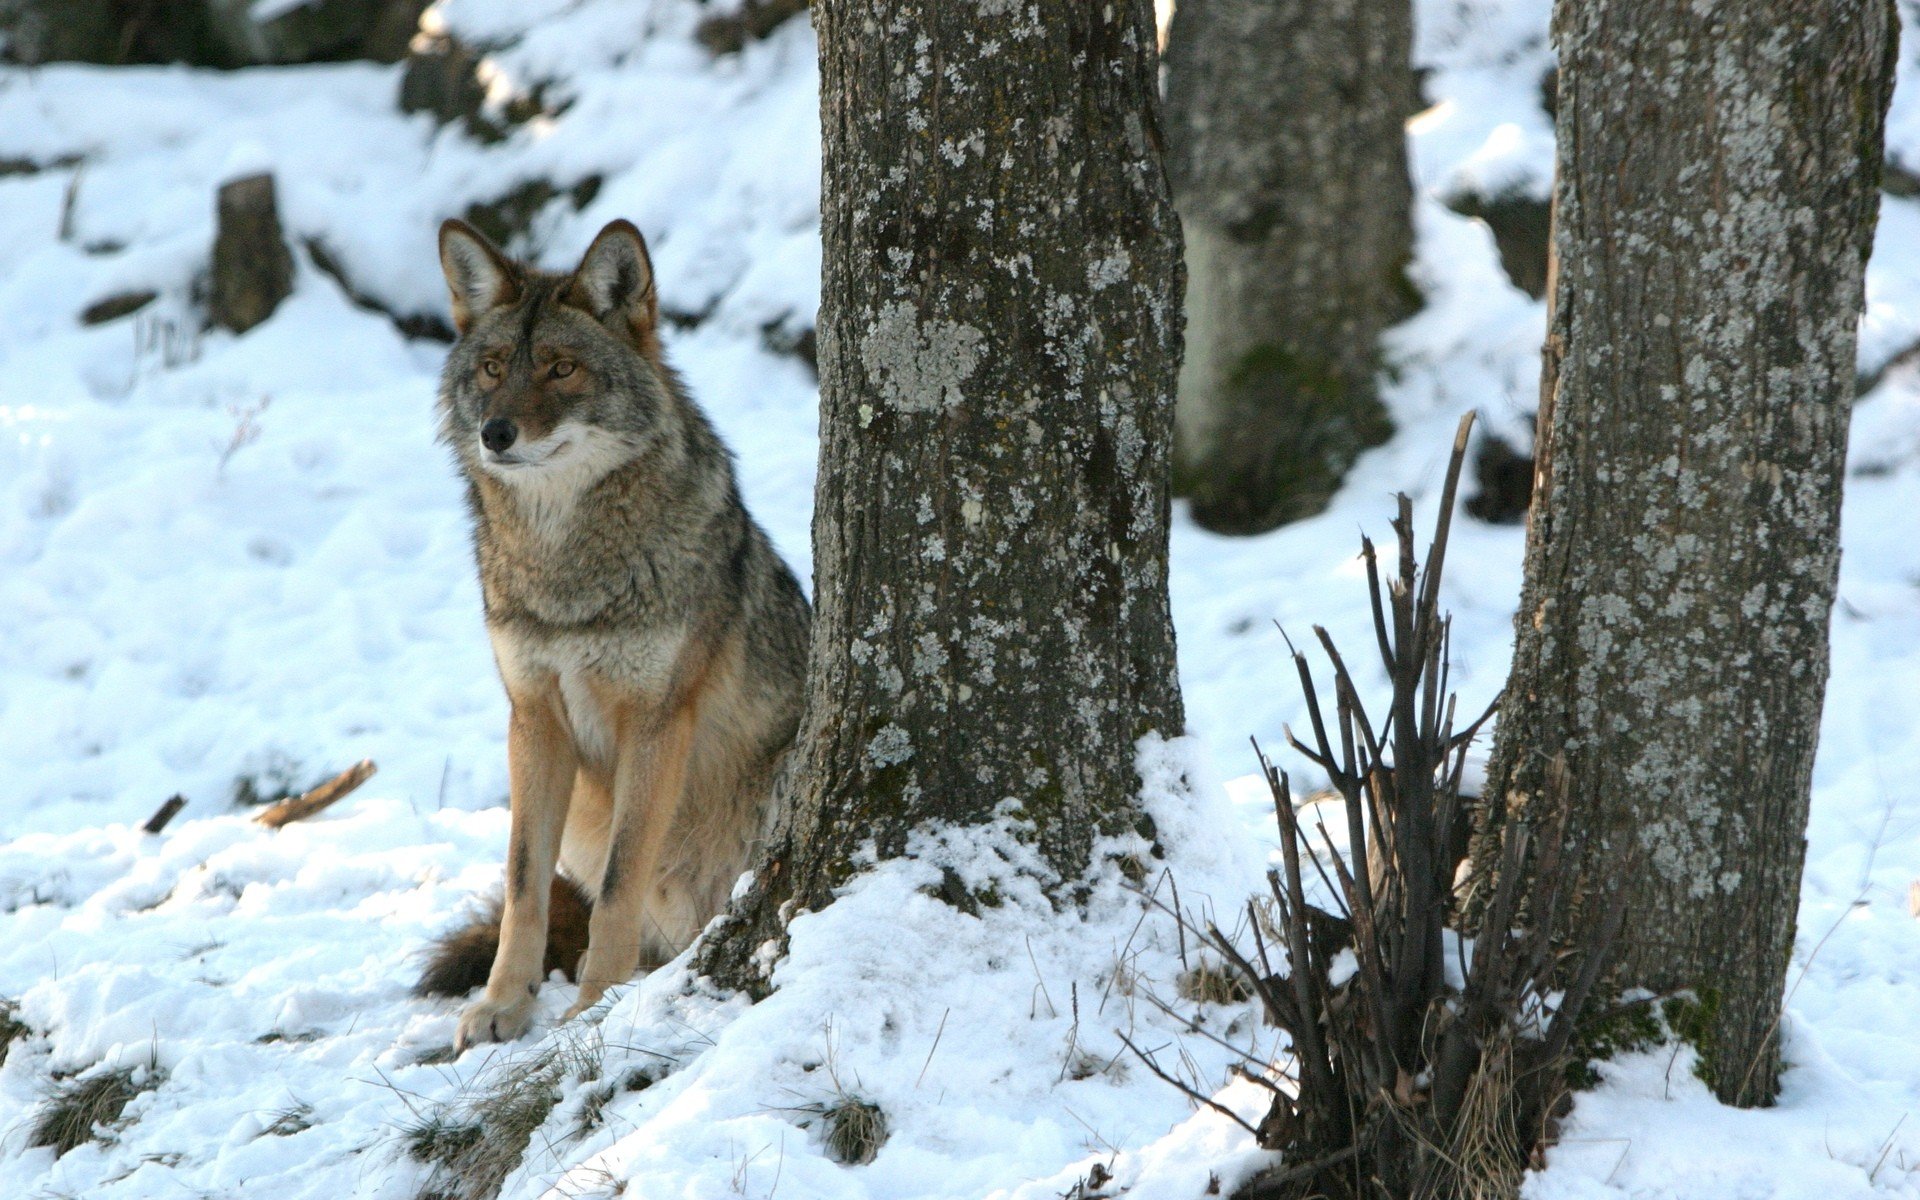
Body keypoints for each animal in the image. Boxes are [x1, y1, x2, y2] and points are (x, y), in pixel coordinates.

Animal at [416, 215, 806, 1044]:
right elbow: (523, 881)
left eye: (561, 369)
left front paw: (595, 1007)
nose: (496, 433)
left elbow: (625, 881)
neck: (567, 570)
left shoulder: (657, 721)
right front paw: (503, 1005)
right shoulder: (533, 719)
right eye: (493, 367)